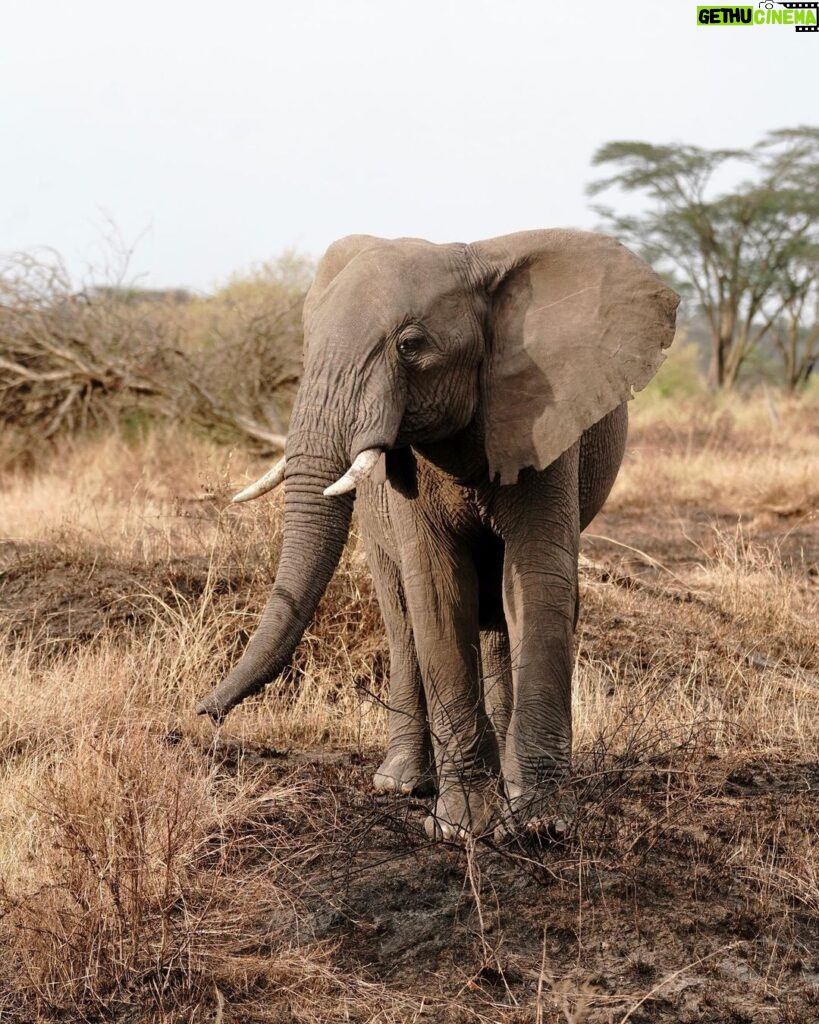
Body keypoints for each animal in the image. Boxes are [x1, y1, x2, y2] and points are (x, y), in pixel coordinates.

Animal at [198, 230, 679, 839]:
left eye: (410, 345)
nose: (204, 714)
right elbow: (437, 587)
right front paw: (463, 826)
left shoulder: (542, 423)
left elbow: (540, 584)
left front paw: (541, 825)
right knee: (402, 615)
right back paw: (401, 784)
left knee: (500, 612)